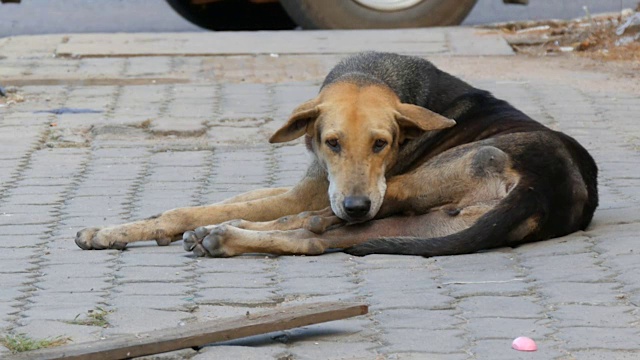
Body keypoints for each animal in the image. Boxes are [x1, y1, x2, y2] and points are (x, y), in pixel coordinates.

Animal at [76, 52, 600, 258]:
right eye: (332, 143)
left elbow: (193, 209)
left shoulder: (309, 194)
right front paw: (122, 228)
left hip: (412, 186)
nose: (355, 205)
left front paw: (125, 229)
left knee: (309, 225)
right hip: (414, 227)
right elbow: (225, 199)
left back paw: (222, 234)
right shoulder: (312, 184)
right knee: (316, 238)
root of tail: (546, 187)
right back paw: (225, 238)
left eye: (382, 144)